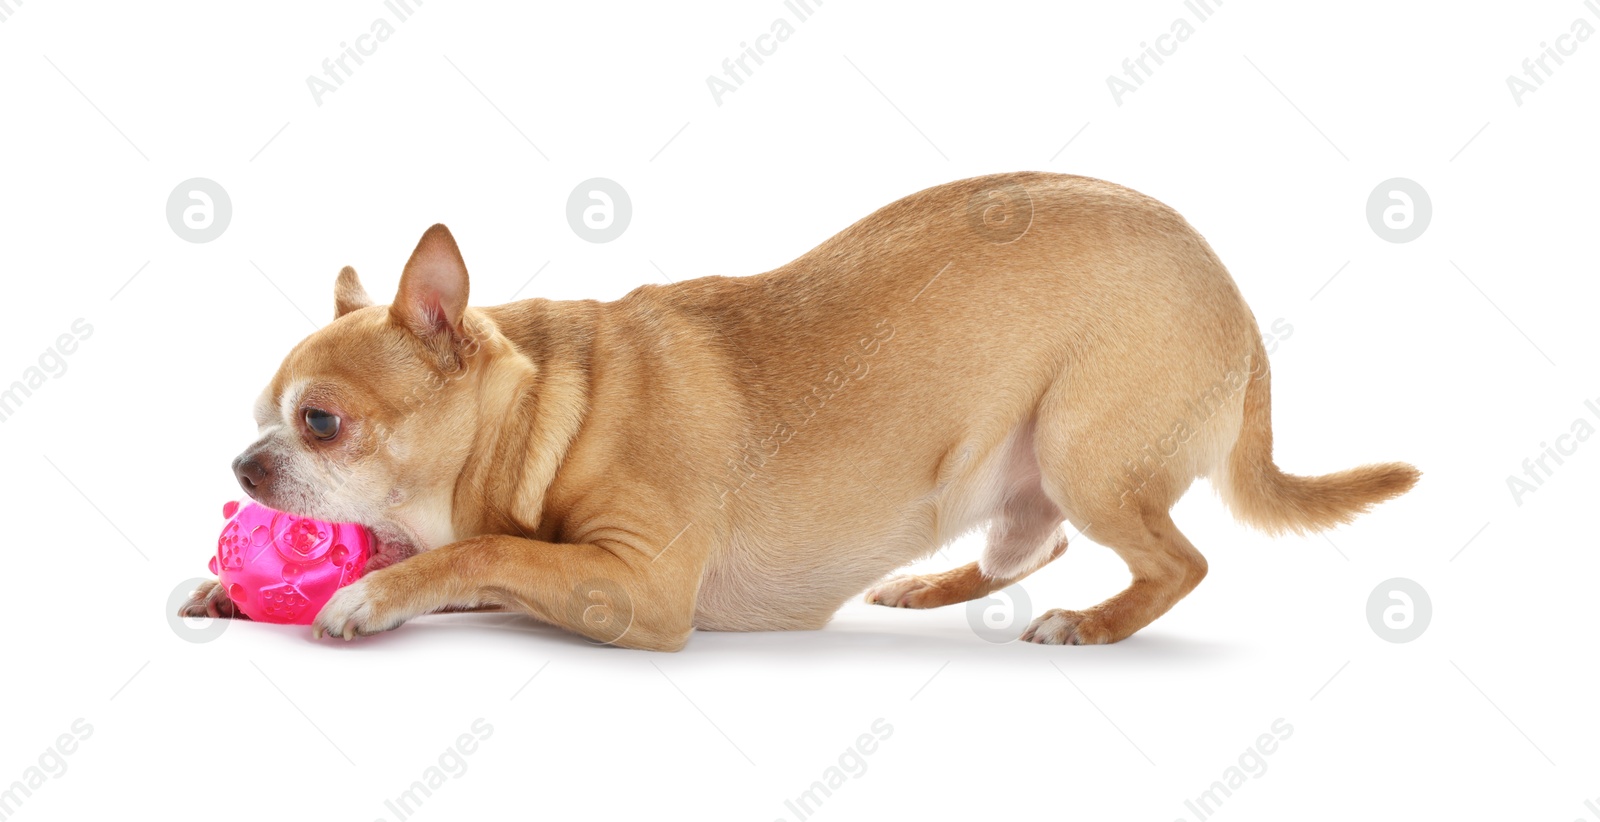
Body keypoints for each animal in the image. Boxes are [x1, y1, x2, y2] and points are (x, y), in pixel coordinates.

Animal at [181, 171, 1420, 646]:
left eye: (320, 422)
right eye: (261, 414)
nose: (240, 468)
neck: (555, 408)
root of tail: (1237, 306)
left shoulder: (638, 590)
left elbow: (480, 551)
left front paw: (369, 596)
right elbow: (477, 557)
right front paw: (235, 589)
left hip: (1085, 447)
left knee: (1176, 562)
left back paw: (1094, 626)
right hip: (1026, 474)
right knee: (1033, 543)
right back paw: (928, 585)